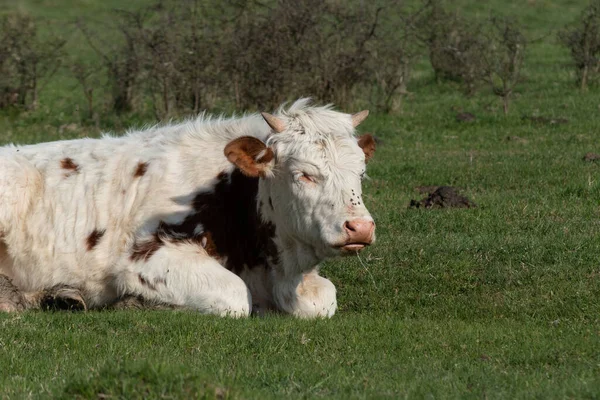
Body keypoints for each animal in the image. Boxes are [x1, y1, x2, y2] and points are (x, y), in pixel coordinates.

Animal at [0, 98, 376, 318]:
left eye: (361, 172)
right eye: (304, 174)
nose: (360, 227)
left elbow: (323, 299)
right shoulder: (145, 258)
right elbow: (235, 296)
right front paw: (135, 301)